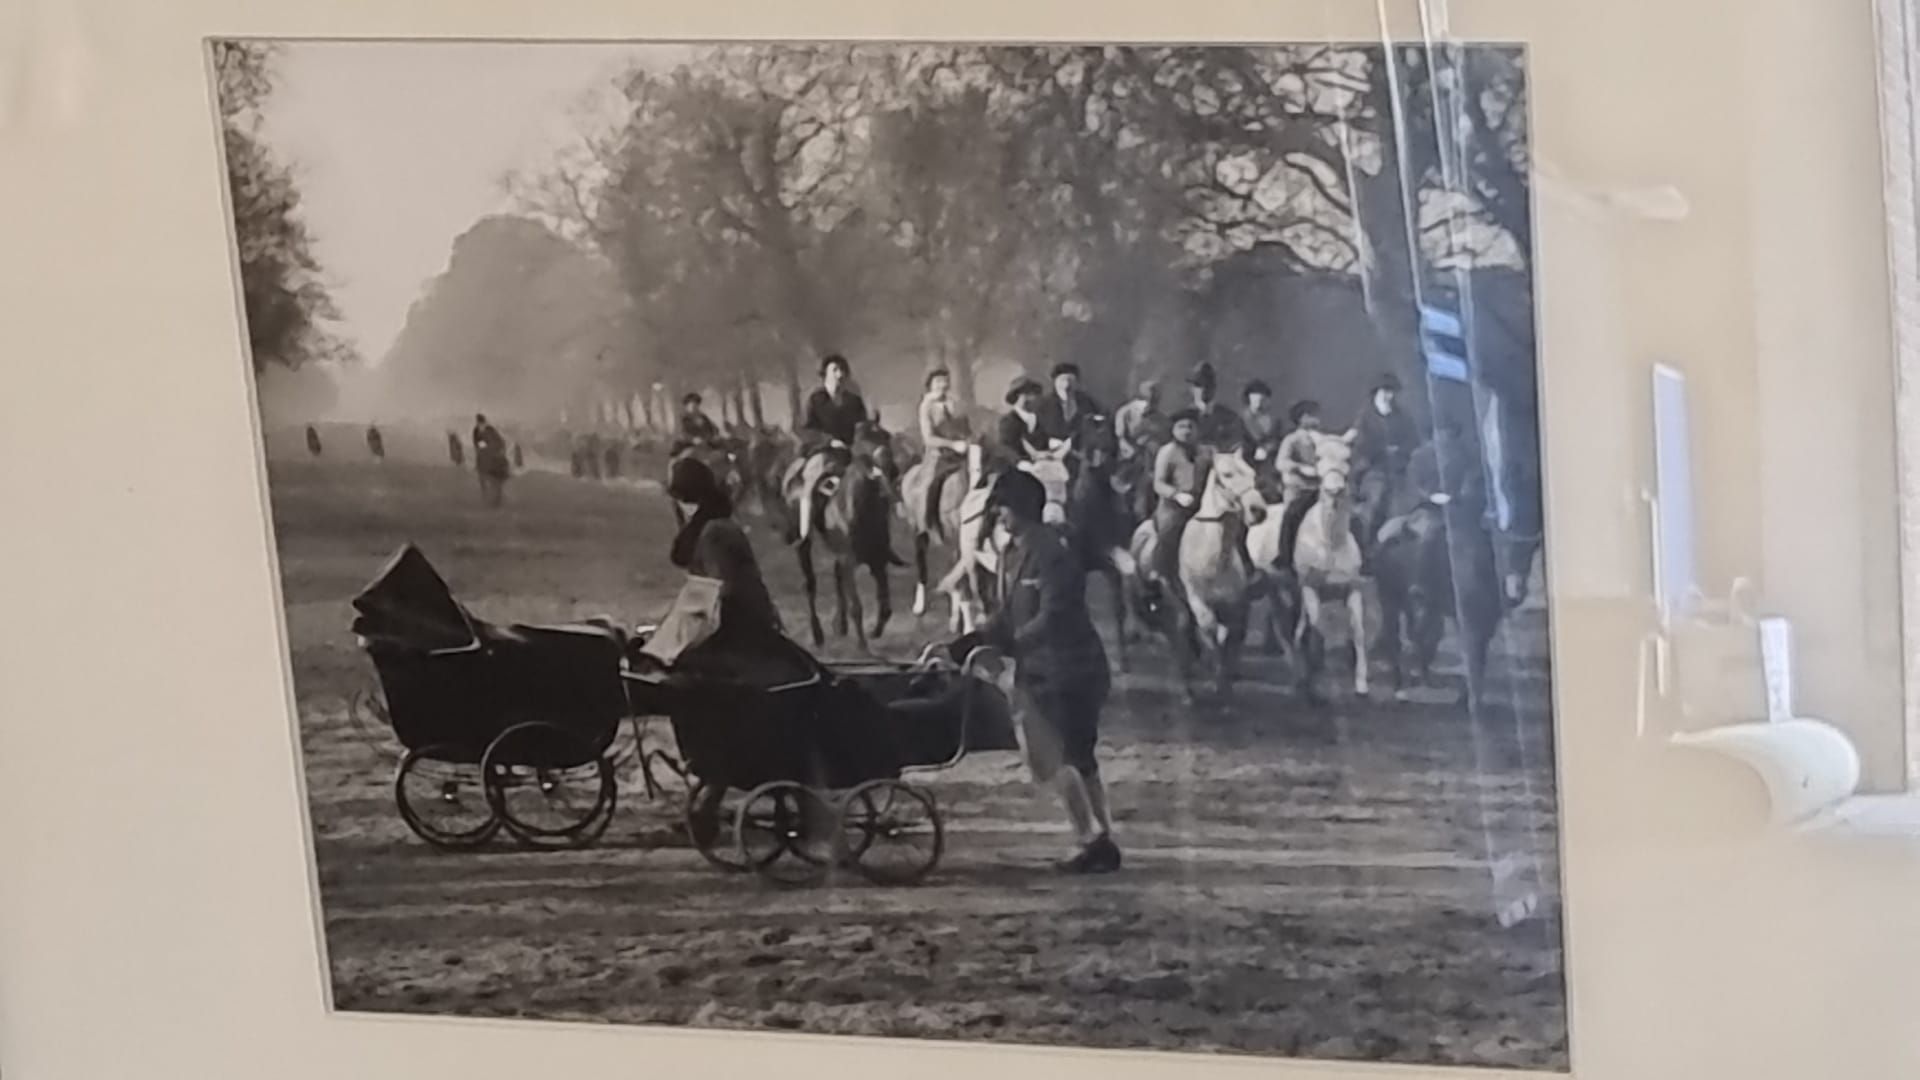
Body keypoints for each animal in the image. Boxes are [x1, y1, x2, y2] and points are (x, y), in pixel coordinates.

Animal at [1128, 443, 1267, 703]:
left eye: (1252, 474)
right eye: (1226, 475)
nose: (1259, 511)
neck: (1214, 556)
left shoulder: (1236, 606)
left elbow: (1230, 640)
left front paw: (1226, 687)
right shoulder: (1199, 605)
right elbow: (1212, 637)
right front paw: (1215, 680)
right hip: (1173, 606)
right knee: (1178, 638)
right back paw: (1186, 690)